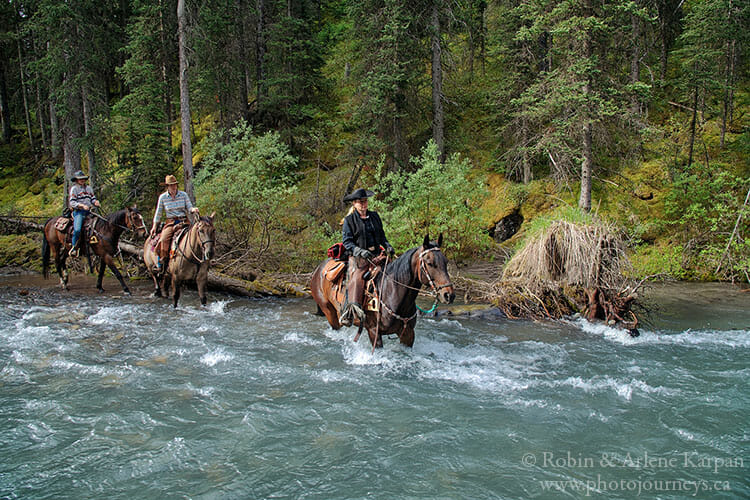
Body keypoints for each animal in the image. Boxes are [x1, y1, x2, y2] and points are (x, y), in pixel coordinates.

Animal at [310, 234, 456, 348]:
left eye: (446, 261)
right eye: (430, 263)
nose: (449, 295)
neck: (392, 293)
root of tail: (318, 269)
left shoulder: (408, 333)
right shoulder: (374, 331)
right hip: (329, 312)